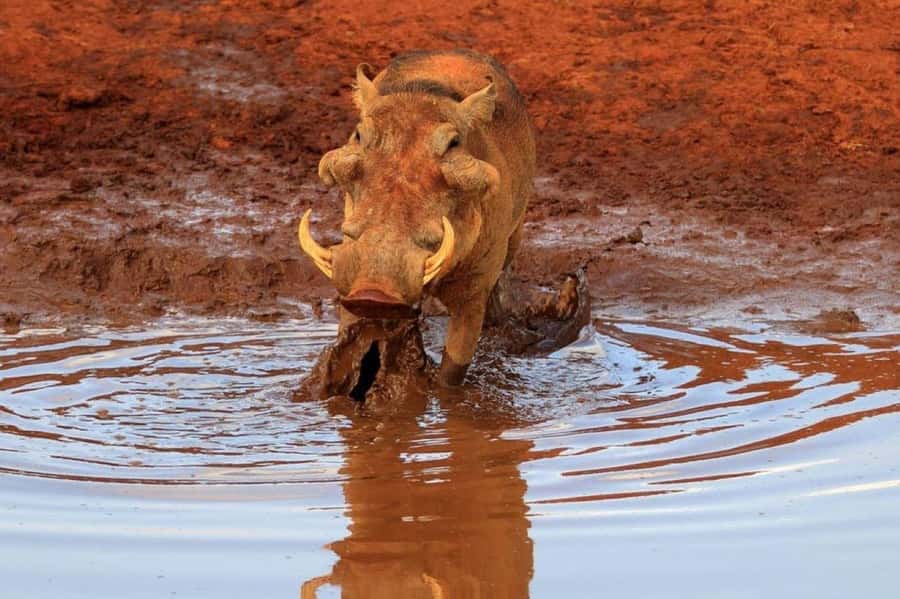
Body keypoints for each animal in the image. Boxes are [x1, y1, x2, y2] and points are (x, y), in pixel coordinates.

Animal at [299, 49, 535, 386]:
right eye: (359, 135)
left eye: (453, 144)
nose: (374, 292)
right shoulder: (348, 281)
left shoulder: (473, 293)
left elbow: (452, 373)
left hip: (515, 238)